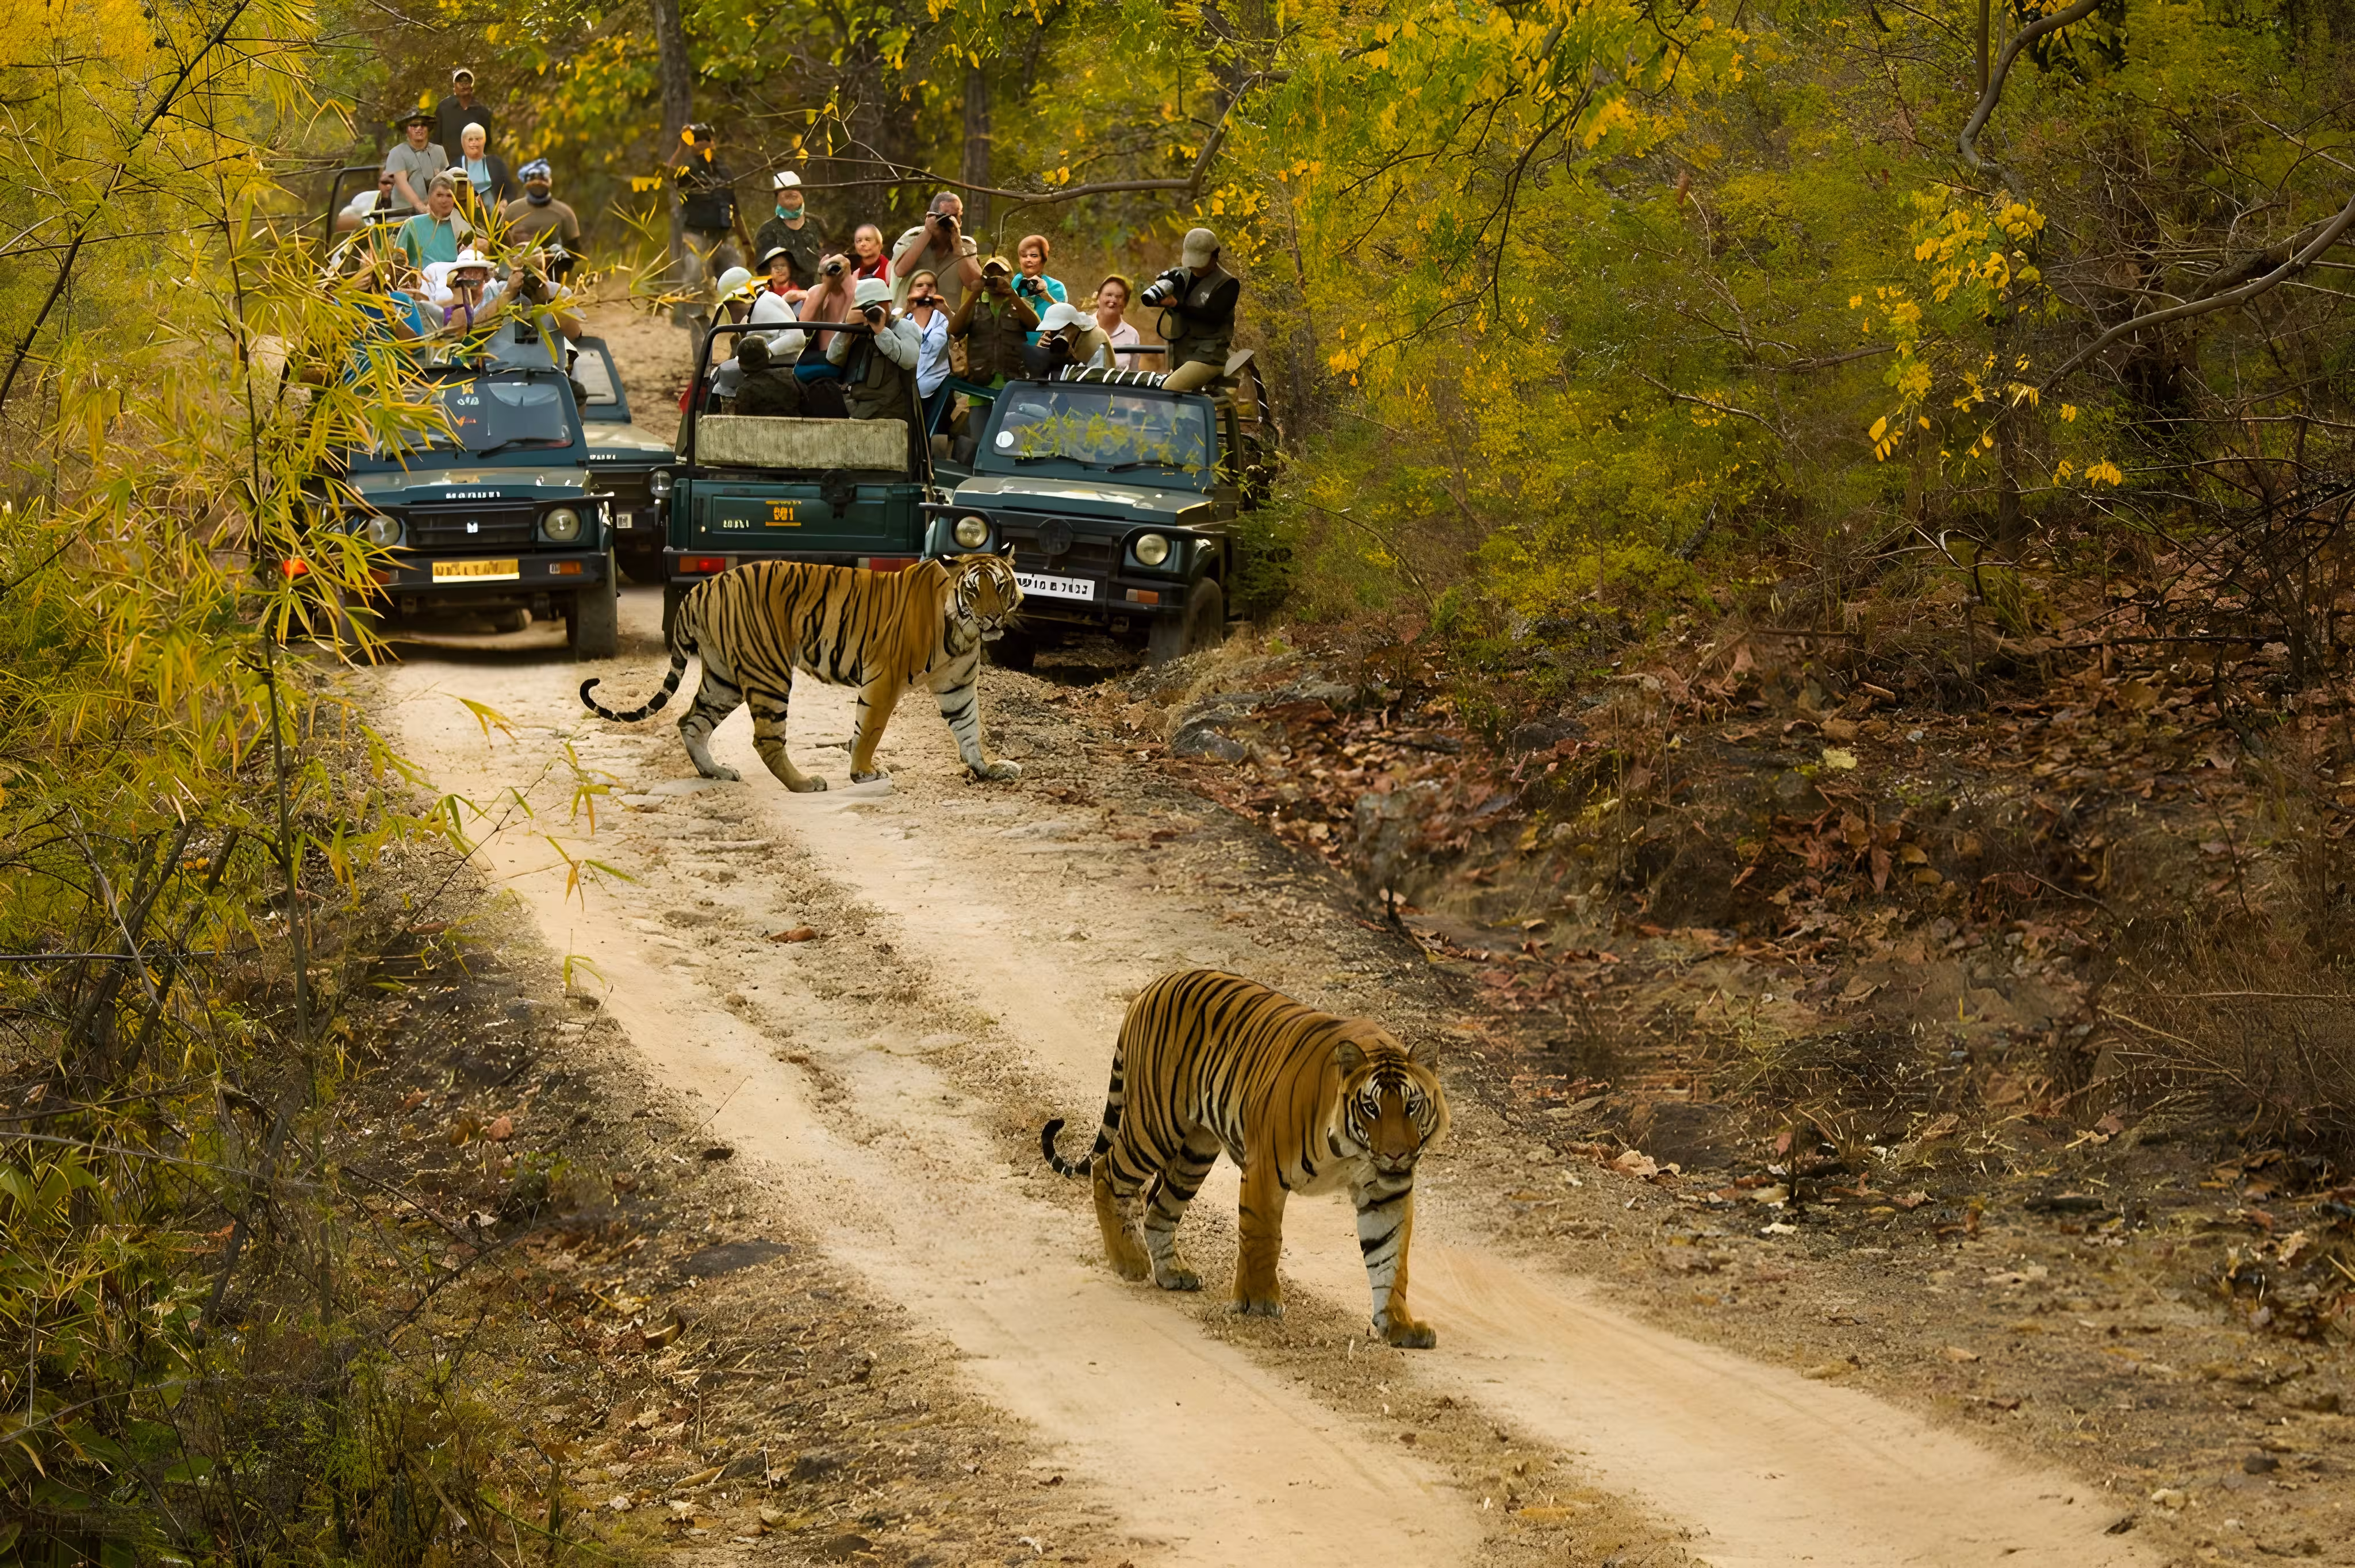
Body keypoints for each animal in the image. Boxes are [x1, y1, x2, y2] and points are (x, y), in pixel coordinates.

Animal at [578, 550, 1024, 792]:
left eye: (1001, 586)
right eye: (974, 589)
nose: (992, 618)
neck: (962, 631)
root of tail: (700, 588)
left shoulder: (957, 685)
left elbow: (968, 728)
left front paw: (988, 768)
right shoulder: (883, 679)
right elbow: (870, 730)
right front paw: (863, 773)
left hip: (723, 678)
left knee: (691, 721)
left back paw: (715, 772)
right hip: (769, 673)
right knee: (765, 740)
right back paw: (805, 783)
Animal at [1041, 970, 1451, 1348]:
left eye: (1412, 1106)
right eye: (1371, 1108)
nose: (1396, 1155)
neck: (1353, 1150)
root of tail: (1156, 982)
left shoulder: (1387, 1193)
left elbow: (1390, 1260)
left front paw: (1399, 1325)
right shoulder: (1265, 1171)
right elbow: (1263, 1237)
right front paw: (1260, 1303)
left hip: (1196, 1151)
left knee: (1159, 1208)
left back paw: (1172, 1272)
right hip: (1155, 1125)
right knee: (1106, 1171)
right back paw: (1128, 1263)